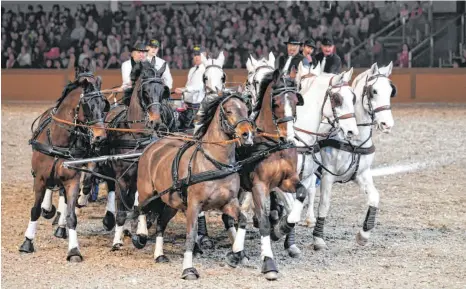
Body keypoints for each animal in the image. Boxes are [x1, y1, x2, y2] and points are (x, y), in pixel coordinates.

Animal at [19, 70, 109, 260]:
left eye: (103, 105)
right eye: (88, 105)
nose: (100, 137)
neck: (59, 141)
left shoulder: (72, 180)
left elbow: (71, 215)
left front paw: (74, 250)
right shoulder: (39, 179)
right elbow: (35, 210)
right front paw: (27, 242)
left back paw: (61, 226)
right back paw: (48, 209)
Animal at [131, 93, 255, 280]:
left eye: (247, 110)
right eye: (228, 110)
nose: (247, 134)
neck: (214, 163)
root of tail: (153, 146)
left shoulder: (229, 202)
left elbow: (242, 220)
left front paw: (237, 254)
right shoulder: (194, 206)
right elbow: (190, 235)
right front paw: (188, 269)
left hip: (172, 203)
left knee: (161, 223)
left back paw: (159, 255)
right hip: (148, 190)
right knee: (141, 207)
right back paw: (141, 235)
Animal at [304, 62, 396, 249]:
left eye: (391, 91)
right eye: (374, 91)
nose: (387, 124)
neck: (354, 142)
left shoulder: (361, 174)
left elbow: (374, 197)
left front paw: (363, 235)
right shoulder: (327, 176)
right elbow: (324, 204)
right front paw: (318, 238)